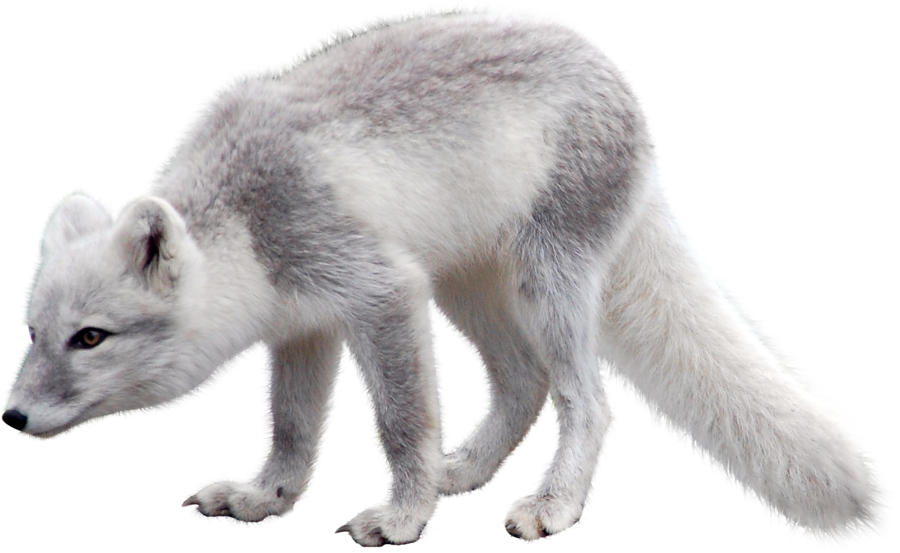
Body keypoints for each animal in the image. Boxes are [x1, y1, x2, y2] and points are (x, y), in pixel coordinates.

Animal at [1, 4, 894, 549]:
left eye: (91, 338)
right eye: (35, 334)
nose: (10, 416)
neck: (246, 213)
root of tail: (608, 64)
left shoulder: (379, 288)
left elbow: (397, 419)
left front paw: (402, 515)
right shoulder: (303, 323)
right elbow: (288, 427)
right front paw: (264, 499)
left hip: (546, 281)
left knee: (587, 399)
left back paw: (550, 503)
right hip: (467, 287)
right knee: (524, 383)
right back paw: (459, 470)